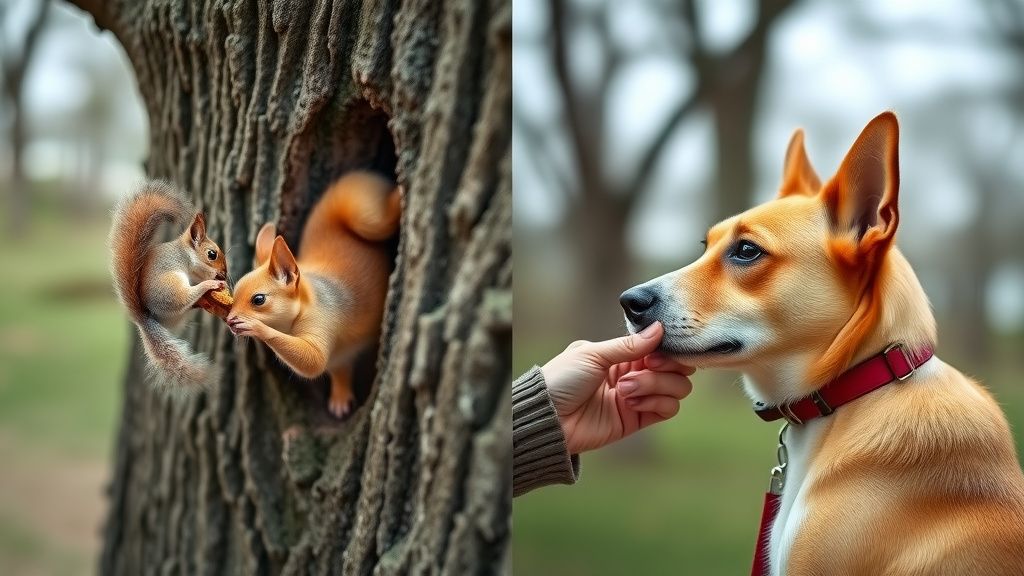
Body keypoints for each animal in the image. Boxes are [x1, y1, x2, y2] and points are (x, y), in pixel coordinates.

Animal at [110, 180, 229, 392]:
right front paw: (215, 280)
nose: (225, 272)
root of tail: (147, 317)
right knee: (186, 298)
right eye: (212, 254)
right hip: (172, 286)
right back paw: (207, 286)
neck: (184, 252)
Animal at [227, 171, 401, 418]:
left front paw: (255, 327)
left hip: (372, 219)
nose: (230, 320)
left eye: (258, 300)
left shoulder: (323, 318)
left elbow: (313, 360)